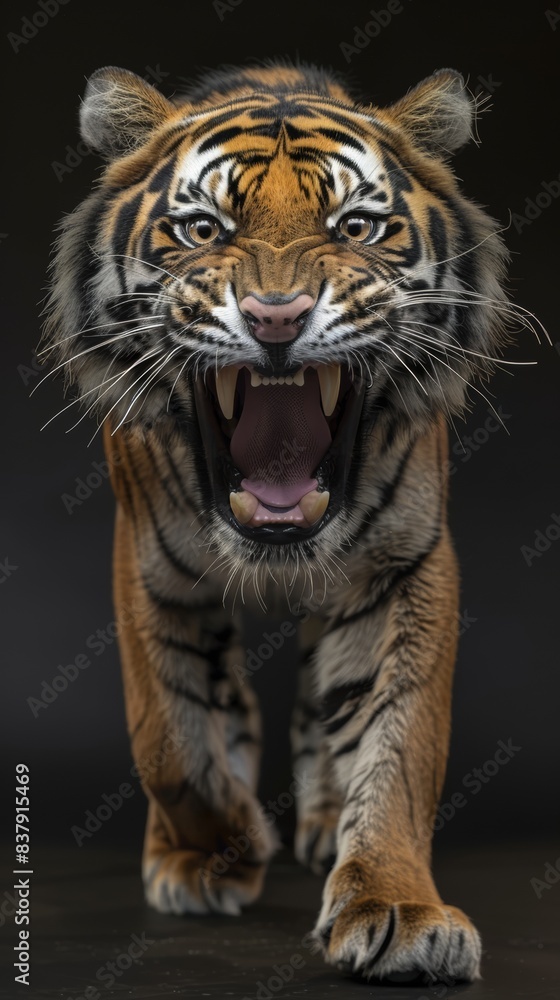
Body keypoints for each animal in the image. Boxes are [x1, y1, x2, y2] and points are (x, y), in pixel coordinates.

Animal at [41, 60, 531, 983]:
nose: (276, 316)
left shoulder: (404, 566)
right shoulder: (148, 568)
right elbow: (170, 737)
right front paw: (224, 848)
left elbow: (398, 742)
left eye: (357, 226)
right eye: (201, 228)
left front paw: (398, 909)